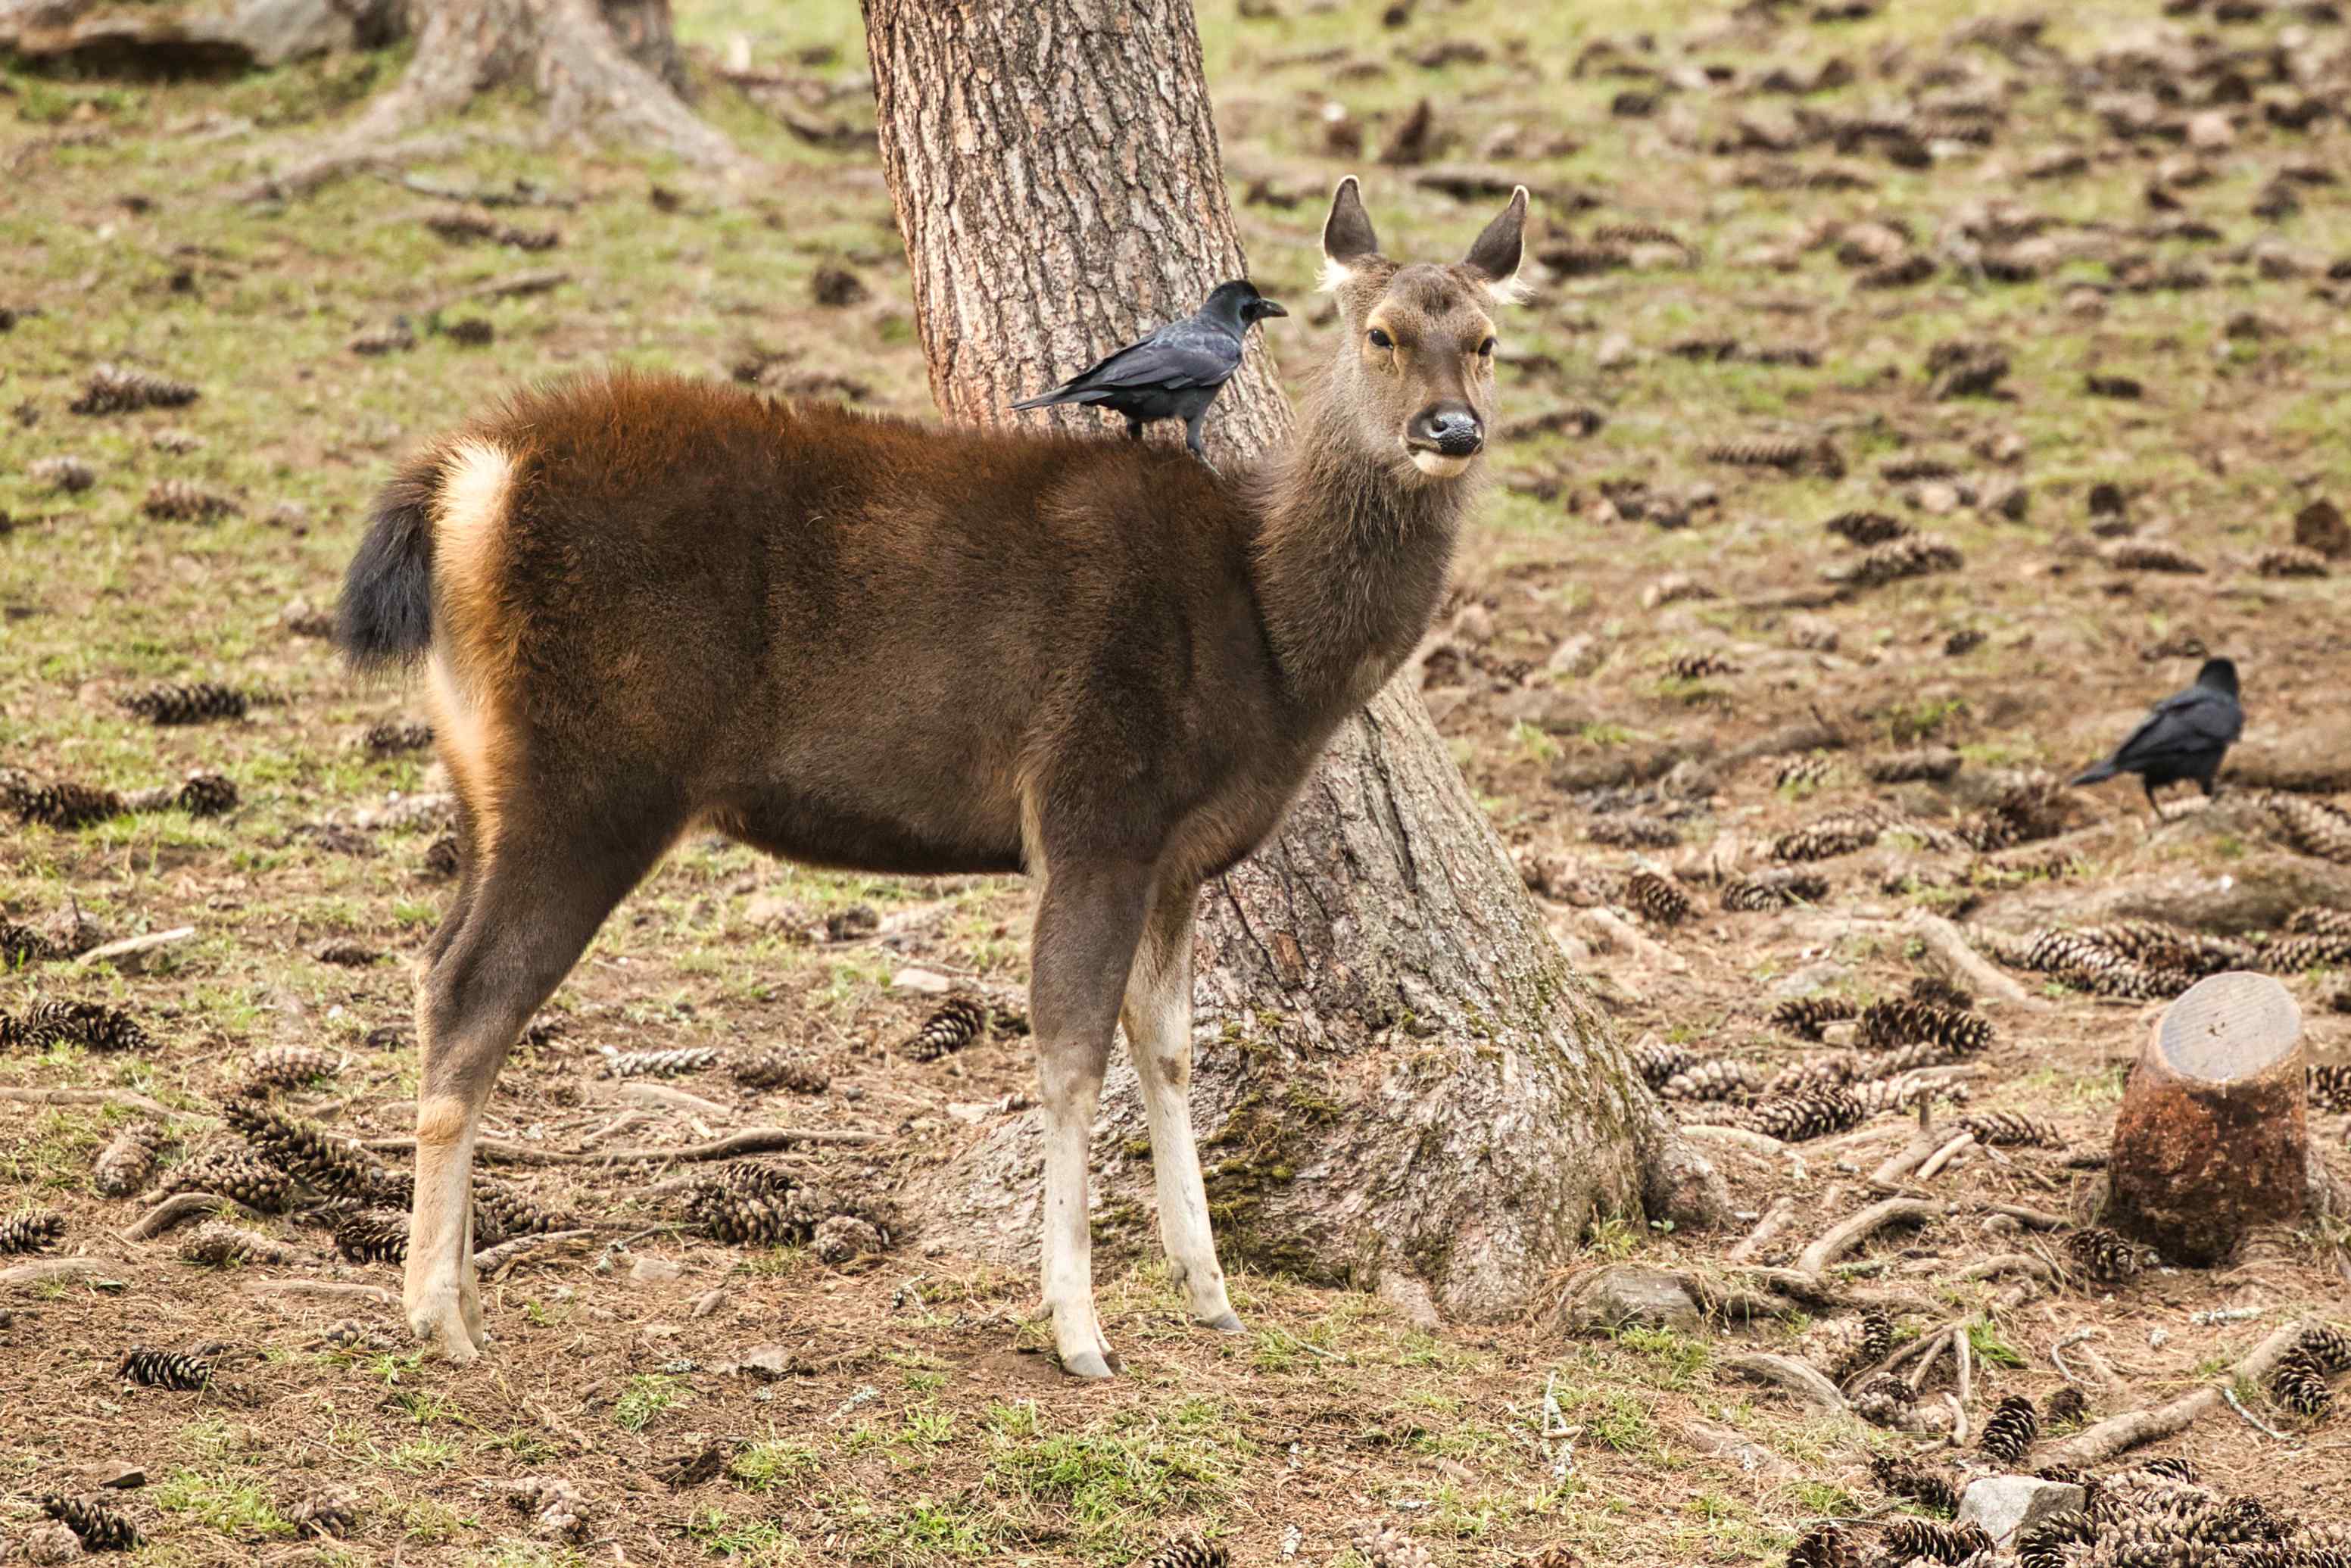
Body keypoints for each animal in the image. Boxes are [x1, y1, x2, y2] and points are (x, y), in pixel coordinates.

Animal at [334, 176, 1527, 1377]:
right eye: (1380, 334)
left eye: (1486, 341)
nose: (1450, 430)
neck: (1272, 645)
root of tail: (468, 483)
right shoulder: (1095, 803)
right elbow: (1071, 1051)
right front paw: (1078, 1326)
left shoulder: (1177, 853)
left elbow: (1170, 1047)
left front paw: (1210, 1289)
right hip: (594, 774)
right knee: (474, 990)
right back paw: (437, 1313)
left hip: (485, 772)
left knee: (435, 966)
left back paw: (464, 1295)